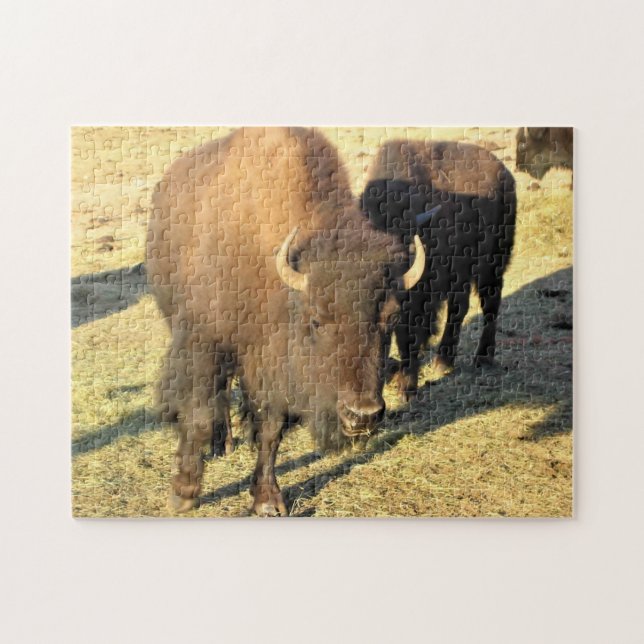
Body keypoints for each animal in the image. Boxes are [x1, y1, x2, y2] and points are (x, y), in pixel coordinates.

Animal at [147, 127, 425, 515]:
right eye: (316, 320)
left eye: (391, 317)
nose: (363, 415)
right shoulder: (203, 344)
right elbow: (196, 415)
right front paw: (183, 493)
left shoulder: (272, 365)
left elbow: (271, 430)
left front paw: (267, 500)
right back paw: (221, 444)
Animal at [361, 140, 517, 398]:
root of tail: (505, 173)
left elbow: (407, 336)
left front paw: (406, 385)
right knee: (459, 308)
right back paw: (444, 358)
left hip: (492, 266)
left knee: (490, 307)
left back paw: (481, 358)